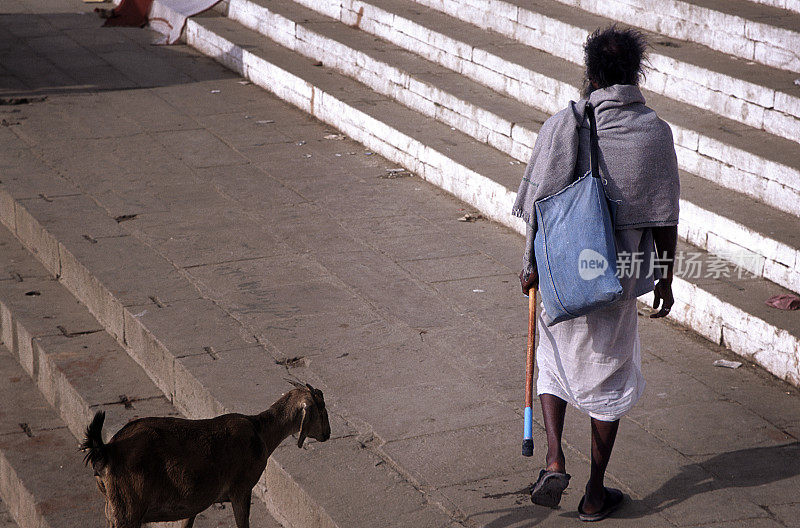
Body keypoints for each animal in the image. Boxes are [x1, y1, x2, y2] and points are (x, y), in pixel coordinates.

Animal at [79, 382, 330, 524]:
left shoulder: (192, 503)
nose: (327, 434)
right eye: (322, 410)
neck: (259, 431)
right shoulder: (241, 489)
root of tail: (106, 451)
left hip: (113, 508)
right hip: (127, 510)